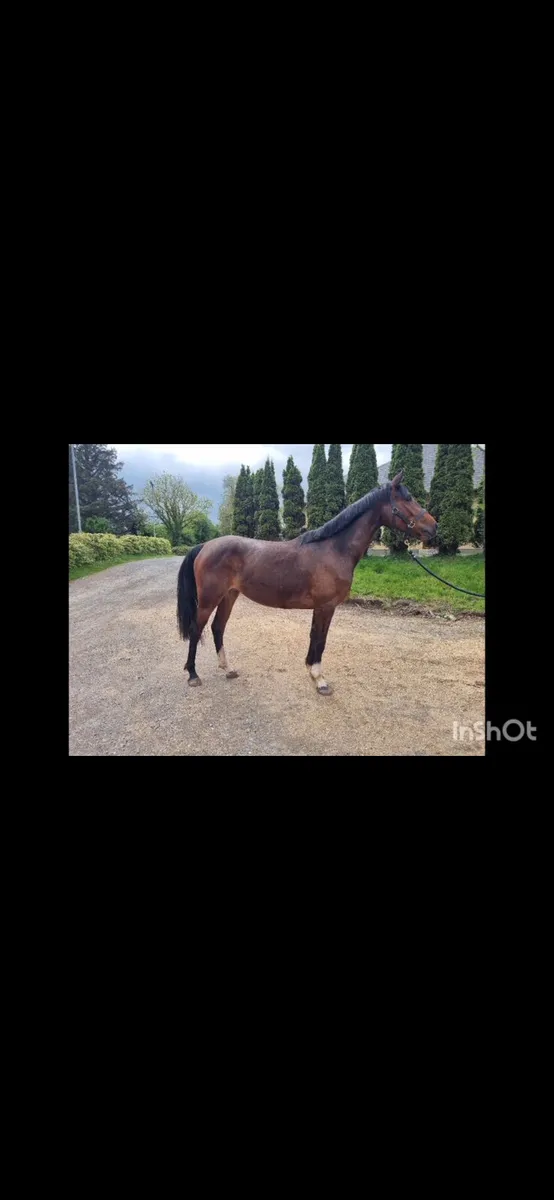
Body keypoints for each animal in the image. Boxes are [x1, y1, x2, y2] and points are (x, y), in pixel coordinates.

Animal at [177, 470, 438, 695]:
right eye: (408, 498)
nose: (433, 527)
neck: (334, 549)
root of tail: (205, 546)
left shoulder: (320, 608)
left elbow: (314, 637)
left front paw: (311, 671)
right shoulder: (326, 607)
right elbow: (321, 640)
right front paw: (320, 680)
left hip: (229, 595)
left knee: (217, 627)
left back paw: (228, 669)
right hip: (209, 599)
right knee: (196, 629)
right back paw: (193, 675)